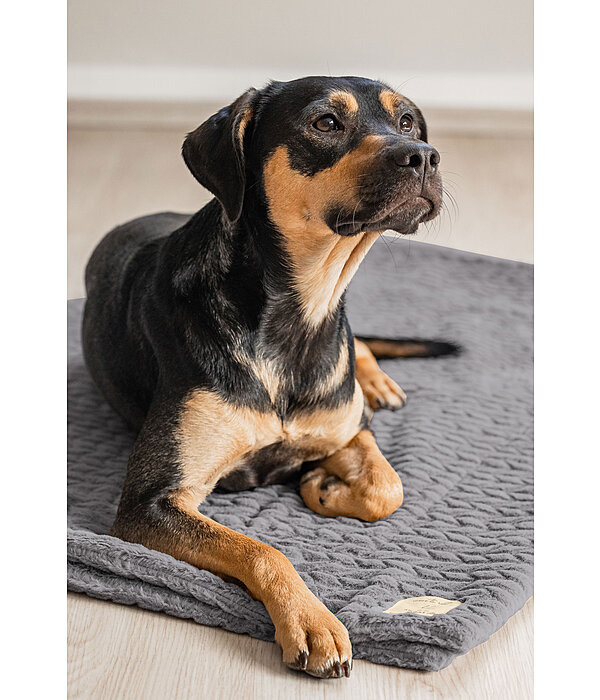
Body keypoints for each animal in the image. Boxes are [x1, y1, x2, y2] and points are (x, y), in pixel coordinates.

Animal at [82, 76, 458, 680]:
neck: (300, 316)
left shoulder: (349, 422)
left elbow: (387, 487)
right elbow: (260, 548)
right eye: (326, 122)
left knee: (361, 348)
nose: (422, 155)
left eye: (406, 123)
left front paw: (325, 484)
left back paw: (377, 381)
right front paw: (312, 620)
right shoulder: (152, 503)